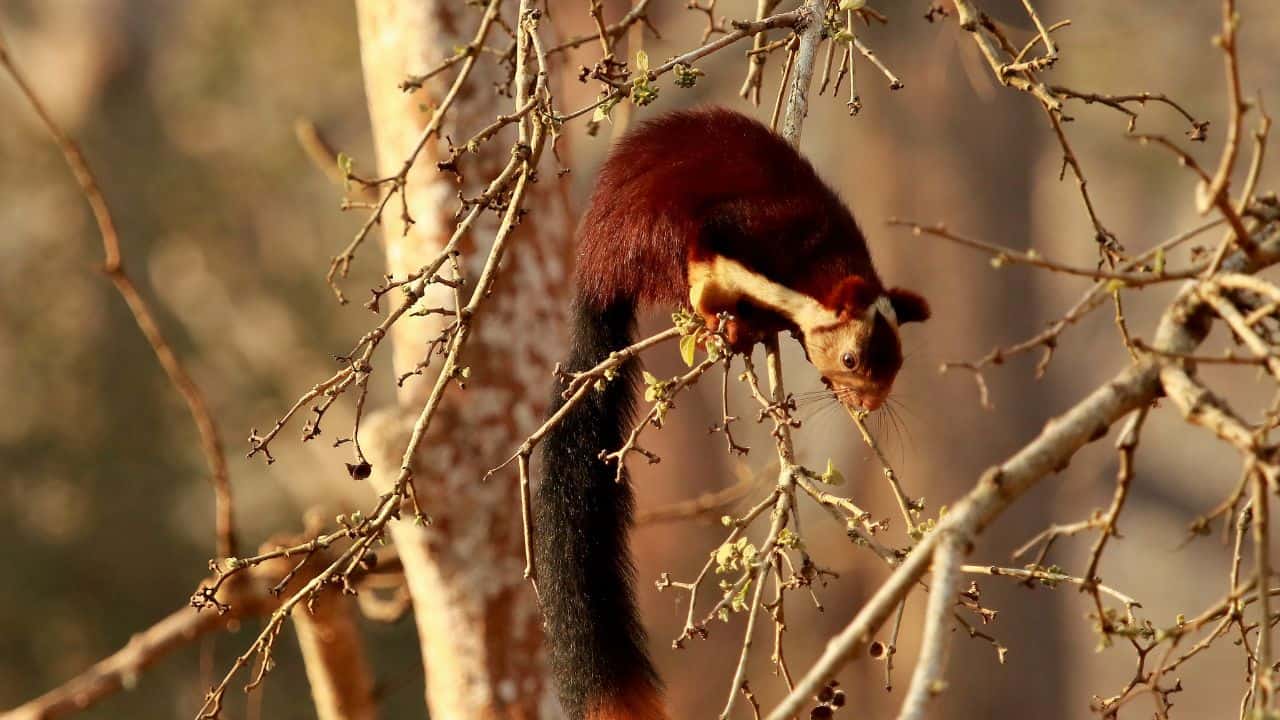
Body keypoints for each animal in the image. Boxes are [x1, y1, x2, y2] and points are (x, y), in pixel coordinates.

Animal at [535, 107, 929, 720]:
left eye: (898, 364)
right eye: (851, 359)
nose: (869, 404)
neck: (813, 267)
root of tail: (597, 271)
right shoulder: (736, 233)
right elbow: (706, 273)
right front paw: (726, 321)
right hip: (652, 238)